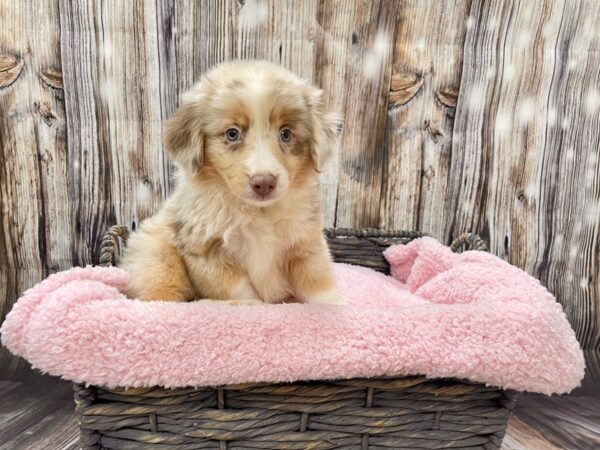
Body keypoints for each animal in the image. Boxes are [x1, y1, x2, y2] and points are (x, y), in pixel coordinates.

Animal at [119, 59, 342, 304]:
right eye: (232, 133)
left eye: (286, 134)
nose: (264, 183)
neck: (258, 212)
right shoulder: (206, 251)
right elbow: (241, 292)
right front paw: (251, 305)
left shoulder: (307, 246)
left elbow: (319, 285)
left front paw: (337, 307)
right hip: (155, 256)